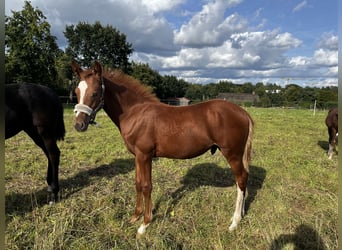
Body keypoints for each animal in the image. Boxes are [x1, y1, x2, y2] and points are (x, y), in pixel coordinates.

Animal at [71, 61, 254, 236]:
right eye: (77, 92)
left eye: (95, 92)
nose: (79, 125)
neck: (135, 112)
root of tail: (243, 112)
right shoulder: (137, 156)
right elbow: (138, 183)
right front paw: (135, 217)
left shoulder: (145, 155)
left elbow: (146, 186)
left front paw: (144, 225)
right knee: (244, 179)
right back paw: (240, 214)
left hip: (232, 154)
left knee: (241, 179)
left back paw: (235, 222)